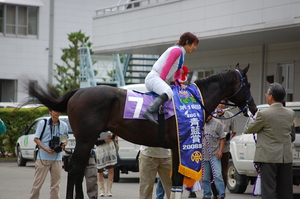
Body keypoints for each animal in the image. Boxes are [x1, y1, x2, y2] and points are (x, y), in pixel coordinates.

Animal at [28, 64, 256, 199]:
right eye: (248, 83)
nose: (253, 108)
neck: (194, 99)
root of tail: (78, 91)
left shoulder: (176, 148)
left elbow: (174, 180)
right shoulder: (180, 145)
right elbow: (177, 179)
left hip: (87, 141)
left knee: (79, 169)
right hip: (86, 139)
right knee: (75, 169)